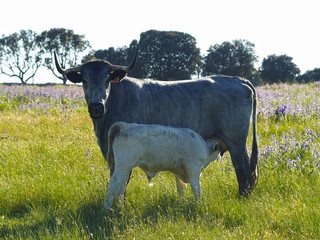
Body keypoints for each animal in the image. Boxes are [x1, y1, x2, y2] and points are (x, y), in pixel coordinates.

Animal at [53, 47, 258, 199]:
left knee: (243, 171)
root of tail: (239, 80)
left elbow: (122, 182)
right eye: (84, 80)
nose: (96, 107)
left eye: (107, 79)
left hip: (237, 144)